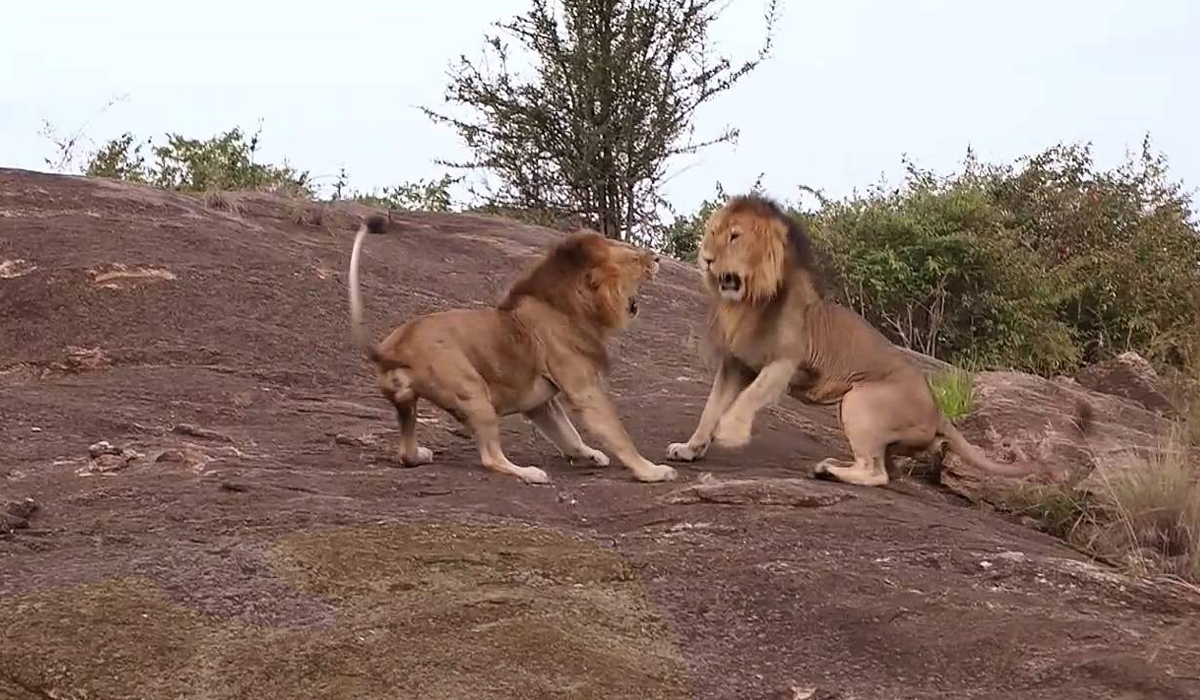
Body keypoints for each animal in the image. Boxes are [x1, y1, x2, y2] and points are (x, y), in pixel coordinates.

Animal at [350, 213, 681, 485]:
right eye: (634, 259)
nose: (657, 258)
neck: (575, 307)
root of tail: (392, 348)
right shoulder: (583, 388)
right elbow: (616, 433)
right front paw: (651, 471)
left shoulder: (540, 403)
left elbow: (568, 433)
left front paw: (589, 455)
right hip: (471, 391)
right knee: (490, 457)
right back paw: (530, 473)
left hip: (406, 405)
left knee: (404, 452)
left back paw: (420, 454)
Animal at [667, 192, 1089, 487]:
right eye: (712, 233)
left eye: (734, 237)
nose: (705, 258)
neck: (746, 304)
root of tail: (939, 412)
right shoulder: (734, 363)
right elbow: (710, 408)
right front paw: (690, 448)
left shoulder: (785, 361)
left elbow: (748, 399)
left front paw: (731, 433)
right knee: (887, 469)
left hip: (860, 400)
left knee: (876, 473)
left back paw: (829, 470)